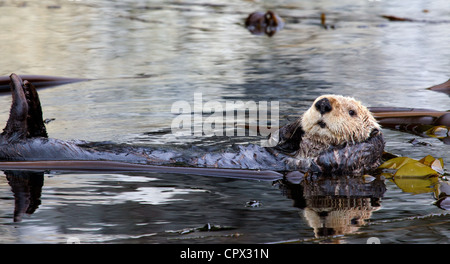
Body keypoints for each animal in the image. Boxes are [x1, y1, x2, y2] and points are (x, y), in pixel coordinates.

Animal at [0, 73, 386, 175]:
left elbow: (346, 158)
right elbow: (280, 141)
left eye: (352, 111)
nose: (323, 103)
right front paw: (292, 126)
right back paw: (25, 86)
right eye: (314, 99)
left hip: (24, 146)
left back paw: (23, 90)